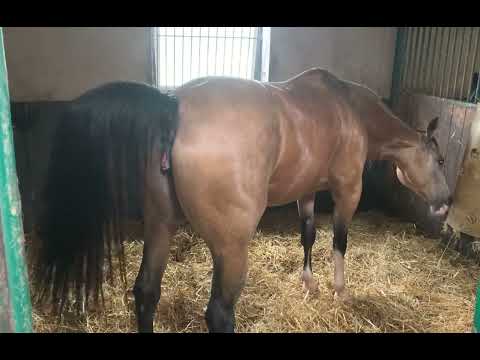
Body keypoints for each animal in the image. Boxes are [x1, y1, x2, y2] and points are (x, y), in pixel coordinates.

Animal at [34, 67, 454, 332]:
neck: (347, 106)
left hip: (160, 227)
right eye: (440, 159)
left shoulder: (306, 191)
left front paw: (309, 283)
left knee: (146, 294)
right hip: (231, 248)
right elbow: (339, 241)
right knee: (219, 314)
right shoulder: (347, 189)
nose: (446, 202)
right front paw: (340, 291)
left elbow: (308, 235)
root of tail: (173, 105)